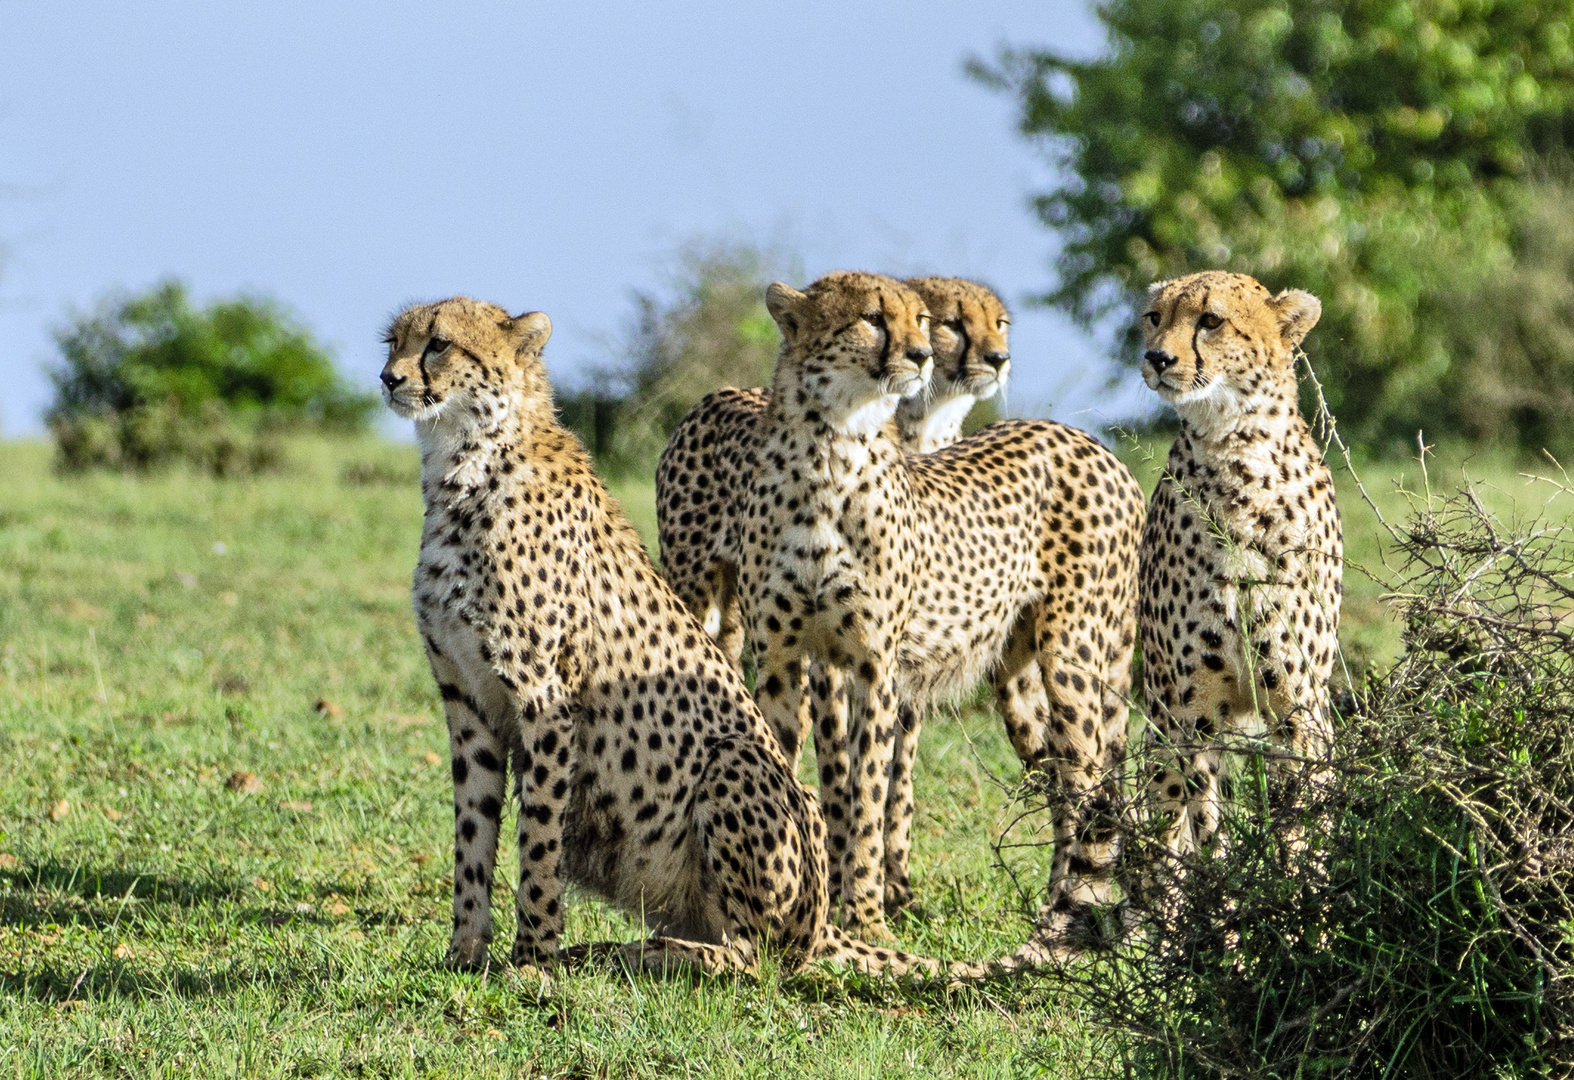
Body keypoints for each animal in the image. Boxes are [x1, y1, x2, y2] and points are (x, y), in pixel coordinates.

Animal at [380, 295, 950, 982]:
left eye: (438, 344)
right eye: (393, 342)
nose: (388, 378)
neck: (463, 466)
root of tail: (820, 927)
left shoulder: (545, 701)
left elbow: (538, 841)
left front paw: (533, 961)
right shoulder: (467, 701)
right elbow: (473, 837)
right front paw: (463, 954)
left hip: (738, 764)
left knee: (755, 957)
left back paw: (636, 952)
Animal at [657, 275, 1013, 673]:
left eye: (1000, 324)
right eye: (951, 324)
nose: (999, 360)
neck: (925, 422)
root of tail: (717, 393)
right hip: (694, 578)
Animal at [736, 272, 1145, 944]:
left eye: (923, 320)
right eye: (873, 318)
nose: (921, 356)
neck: (829, 449)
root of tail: (1090, 442)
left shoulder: (875, 667)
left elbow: (869, 792)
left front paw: (866, 920)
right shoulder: (781, 660)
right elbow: (790, 777)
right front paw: (789, 913)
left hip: (1076, 659)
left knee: (1090, 779)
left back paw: (1068, 913)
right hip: (1019, 686)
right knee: (1062, 780)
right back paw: (1060, 904)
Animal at [1139, 272, 1347, 862]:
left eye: (1211, 320)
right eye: (1155, 317)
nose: (1156, 357)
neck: (1236, 453)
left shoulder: (1300, 705)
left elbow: (1303, 817)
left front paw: (1298, 881)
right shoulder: (1193, 712)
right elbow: (1206, 823)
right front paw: (1220, 884)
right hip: (1158, 725)